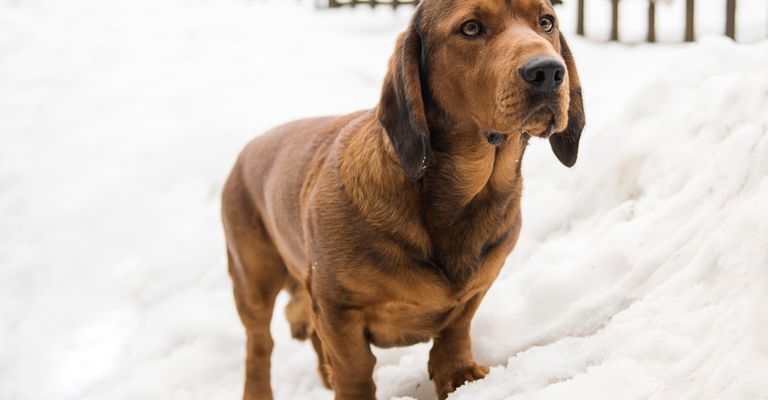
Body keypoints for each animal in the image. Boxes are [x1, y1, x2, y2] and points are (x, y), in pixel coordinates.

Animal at [220, 0, 584, 398]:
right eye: (471, 28)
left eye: (546, 22)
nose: (548, 72)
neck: (463, 195)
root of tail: (250, 147)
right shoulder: (336, 307)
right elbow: (355, 368)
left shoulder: (476, 290)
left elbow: (455, 332)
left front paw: (458, 374)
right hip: (252, 282)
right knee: (260, 346)